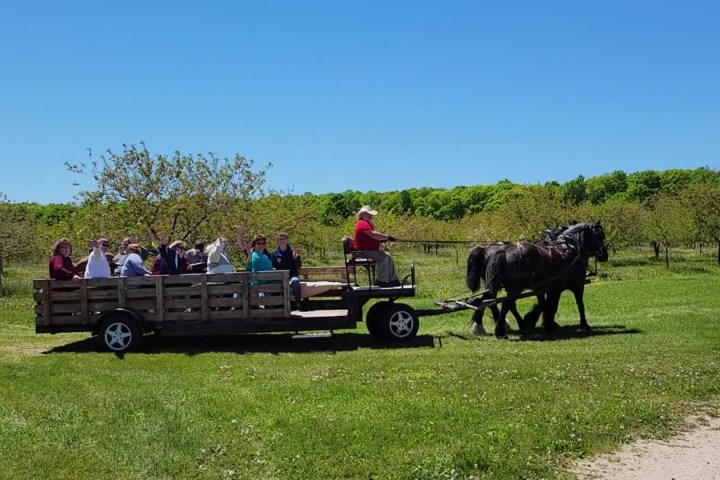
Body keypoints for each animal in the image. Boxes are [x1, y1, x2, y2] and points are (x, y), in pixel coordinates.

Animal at [466, 221, 608, 338]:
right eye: (600, 235)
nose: (604, 255)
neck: (569, 248)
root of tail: (501, 251)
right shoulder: (575, 285)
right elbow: (577, 305)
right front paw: (584, 325)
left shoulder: (548, 288)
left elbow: (547, 304)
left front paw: (546, 323)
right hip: (512, 287)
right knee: (503, 303)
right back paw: (500, 330)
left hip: (497, 284)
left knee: (492, 301)